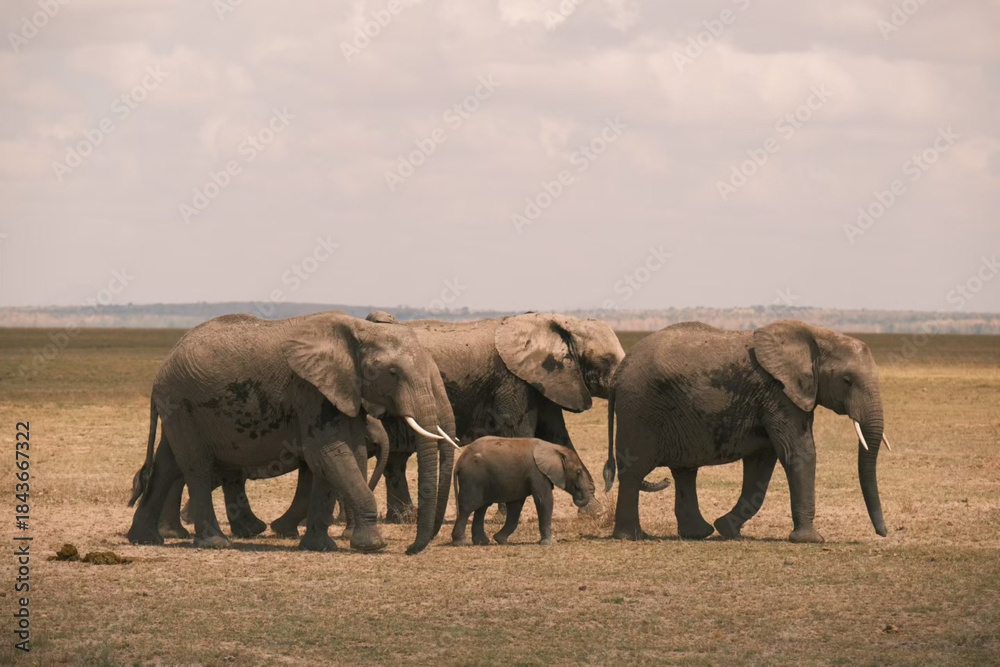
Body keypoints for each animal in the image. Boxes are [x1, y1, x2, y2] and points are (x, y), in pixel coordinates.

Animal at [126, 312, 458, 555]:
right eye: (392, 373)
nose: (410, 549)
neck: (360, 331)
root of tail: (161, 370)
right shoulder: (310, 390)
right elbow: (329, 453)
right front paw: (371, 546)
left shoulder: (341, 390)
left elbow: (345, 454)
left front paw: (320, 546)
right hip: (183, 403)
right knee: (196, 465)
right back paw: (215, 542)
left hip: (180, 410)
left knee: (167, 465)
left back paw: (144, 539)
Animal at [451, 437, 599, 546]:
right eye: (578, 472)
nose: (578, 495)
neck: (554, 448)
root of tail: (459, 461)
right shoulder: (537, 473)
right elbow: (544, 500)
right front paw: (550, 543)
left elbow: (515, 506)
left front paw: (501, 540)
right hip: (473, 478)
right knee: (468, 507)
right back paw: (461, 542)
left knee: (481, 507)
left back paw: (482, 542)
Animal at [603, 320, 891, 544]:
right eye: (847, 381)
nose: (884, 533)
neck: (818, 336)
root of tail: (619, 373)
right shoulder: (779, 392)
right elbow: (798, 452)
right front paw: (811, 540)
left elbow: (761, 464)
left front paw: (727, 529)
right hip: (640, 409)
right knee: (634, 471)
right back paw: (633, 537)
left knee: (684, 471)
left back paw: (698, 533)